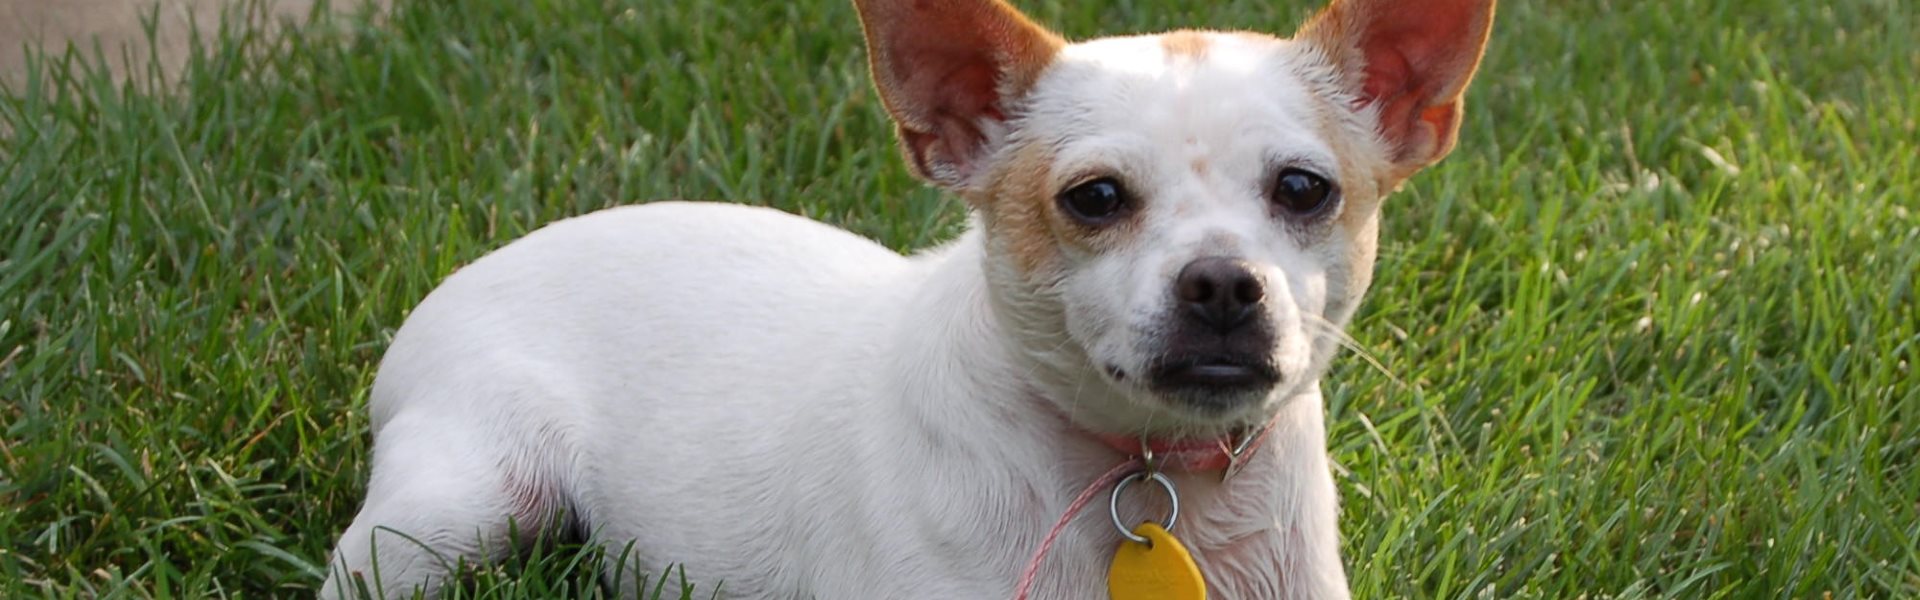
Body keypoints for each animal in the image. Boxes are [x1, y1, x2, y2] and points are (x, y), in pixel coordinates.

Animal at [322, 0, 1489, 596]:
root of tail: (471, 269)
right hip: (461, 511)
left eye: (1304, 189)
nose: (1219, 282)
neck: (1154, 476)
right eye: (1095, 198)